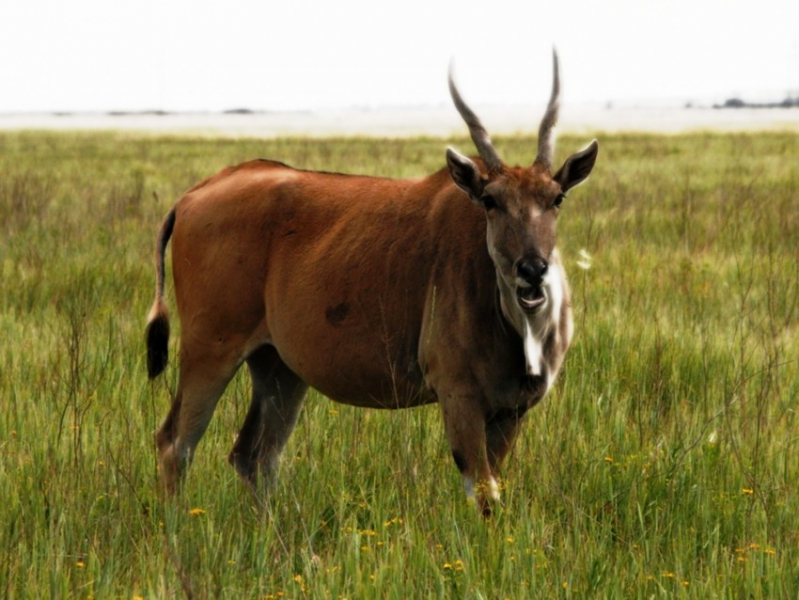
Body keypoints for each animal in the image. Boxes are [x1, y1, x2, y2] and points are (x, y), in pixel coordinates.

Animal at [144, 52, 596, 516]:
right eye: (490, 201)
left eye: (556, 198)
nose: (532, 269)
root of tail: (195, 194)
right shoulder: (459, 396)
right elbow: (484, 492)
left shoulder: (511, 411)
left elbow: (494, 489)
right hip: (209, 349)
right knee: (175, 443)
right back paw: (176, 528)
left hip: (279, 367)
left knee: (254, 455)